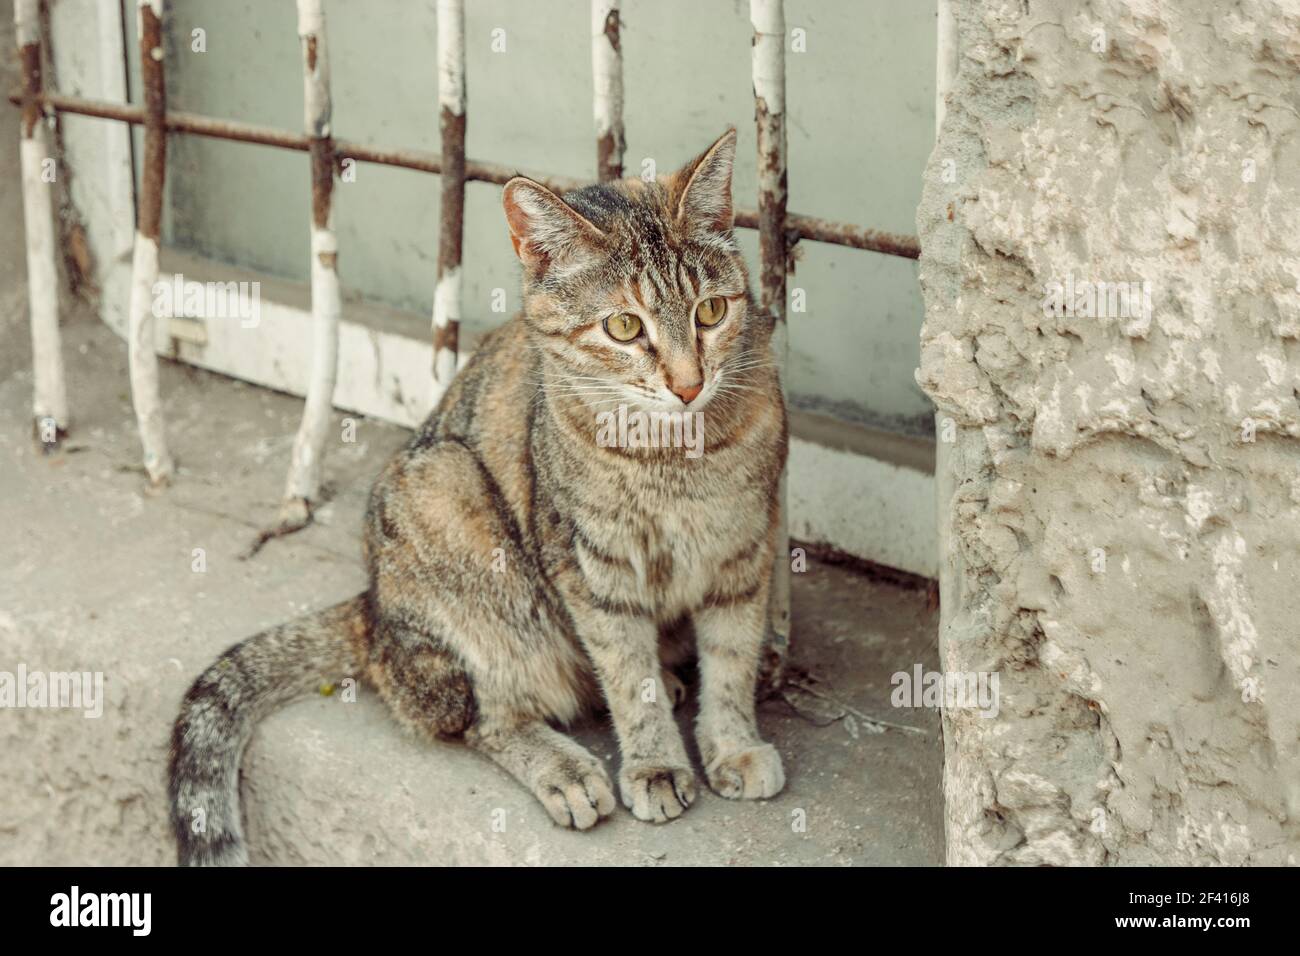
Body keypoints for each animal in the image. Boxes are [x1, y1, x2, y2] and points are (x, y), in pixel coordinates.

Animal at [167, 127, 785, 868]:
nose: (689, 384)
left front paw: (734, 744)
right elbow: (623, 670)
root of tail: (372, 608)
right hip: (453, 502)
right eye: (625, 328)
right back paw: (565, 768)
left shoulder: (747, 549)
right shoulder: (590, 571)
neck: (677, 458)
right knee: (484, 715)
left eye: (711, 312)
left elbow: (732, 661)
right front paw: (655, 762)